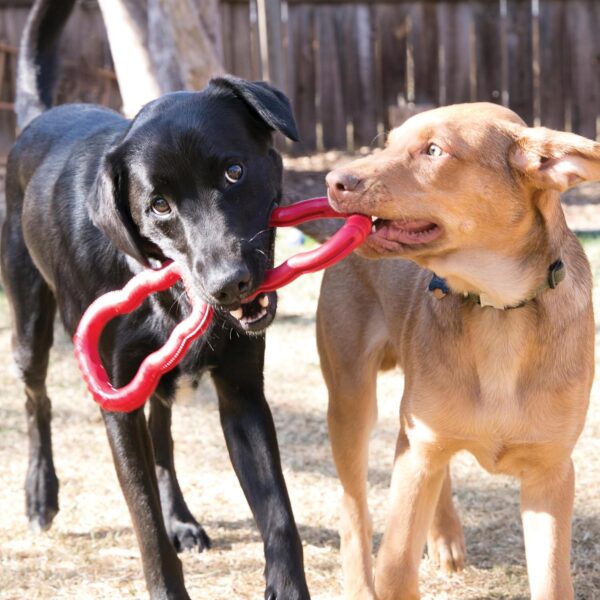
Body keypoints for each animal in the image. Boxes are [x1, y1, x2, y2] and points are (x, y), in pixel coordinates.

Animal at [2, 2, 312, 596]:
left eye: (234, 171)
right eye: (159, 206)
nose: (229, 284)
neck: (166, 294)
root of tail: (38, 116)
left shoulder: (242, 393)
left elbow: (280, 514)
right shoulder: (117, 402)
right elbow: (142, 517)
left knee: (163, 436)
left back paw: (182, 519)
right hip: (29, 327)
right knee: (37, 401)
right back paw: (40, 493)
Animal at [318, 104, 596, 600]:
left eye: (434, 150)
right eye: (388, 144)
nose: (333, 182)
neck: (498, 309)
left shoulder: (551, 475)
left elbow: (552, 582)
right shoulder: (418, 456)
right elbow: (395, 569)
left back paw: (445, 536)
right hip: (351, 400)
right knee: (355, 512)